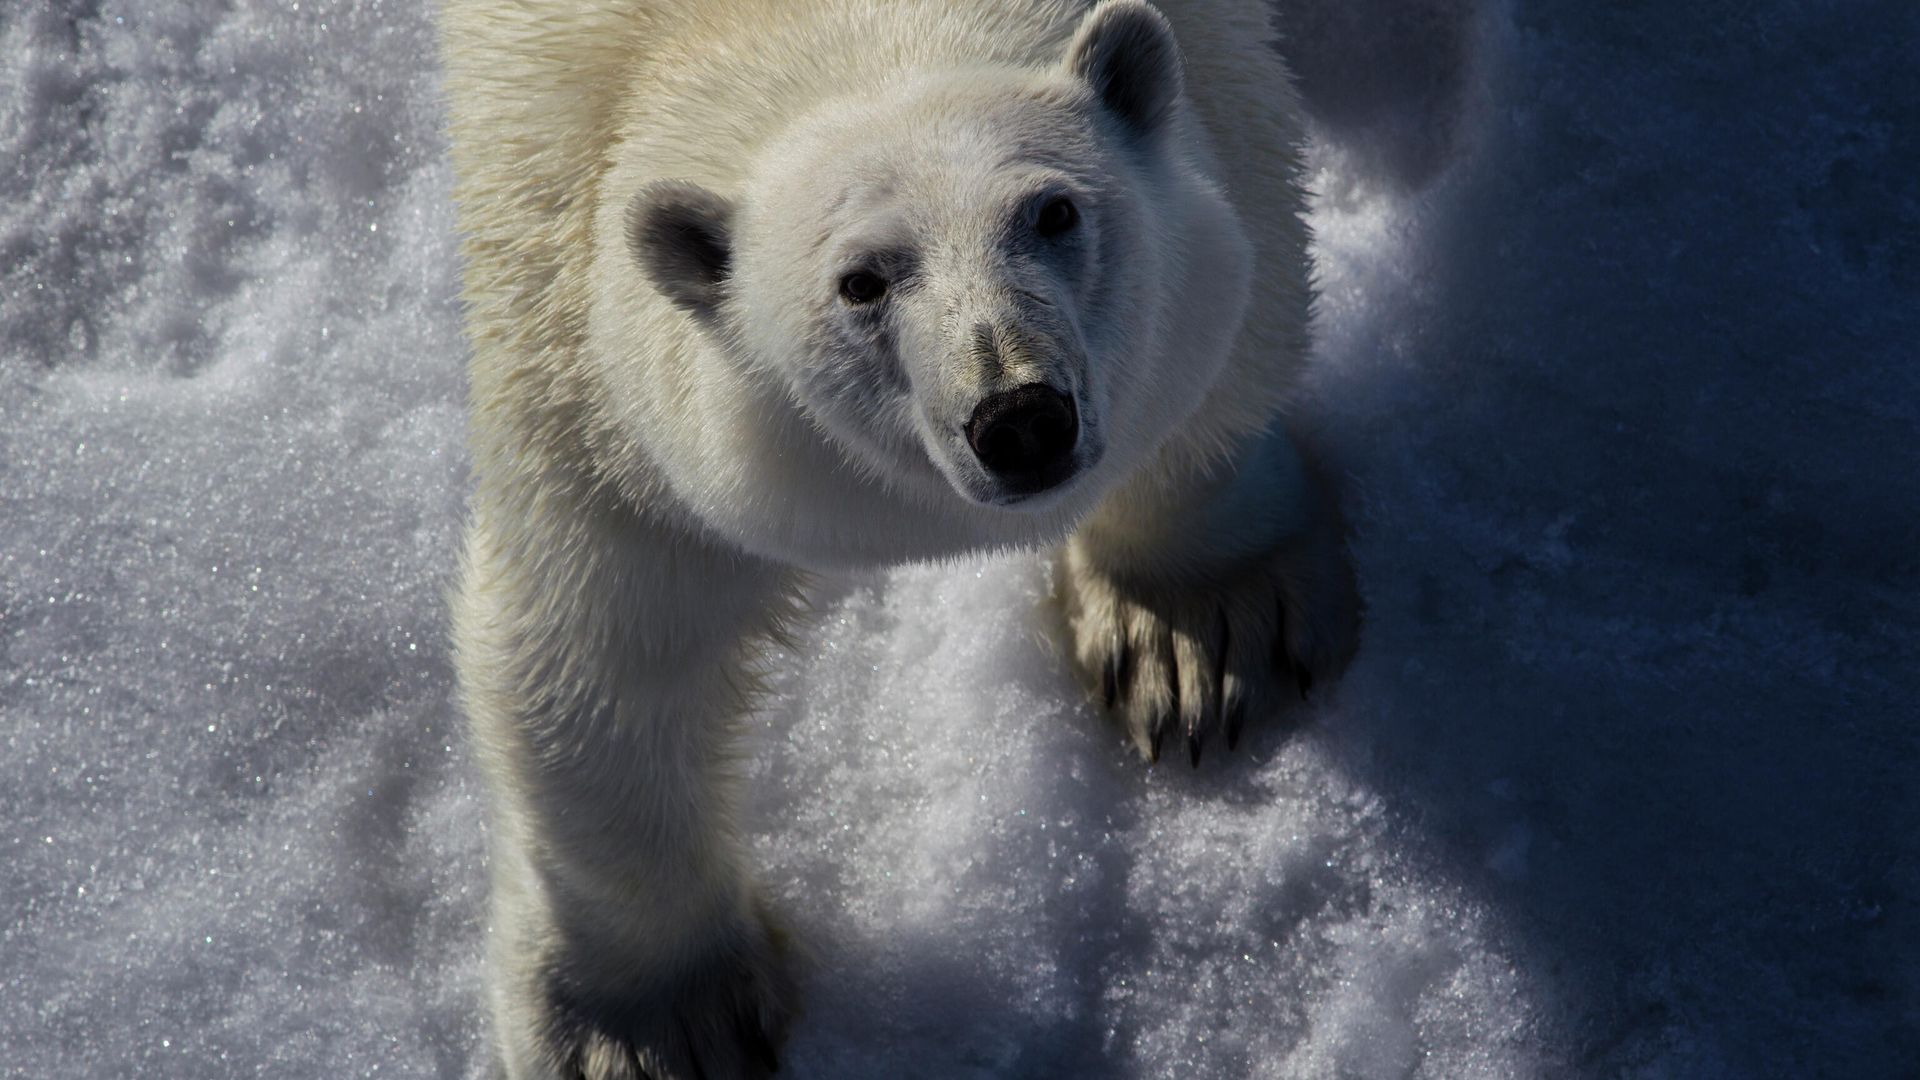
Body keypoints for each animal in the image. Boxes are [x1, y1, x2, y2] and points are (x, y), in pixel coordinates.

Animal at [438, 1, 1359, 1077]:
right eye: (860, 282)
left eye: (1053, 212)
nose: (1019, 417)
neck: (763, 28)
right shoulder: (579, 322)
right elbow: (601, 644)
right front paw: (659, 1026)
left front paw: (1194, 633)